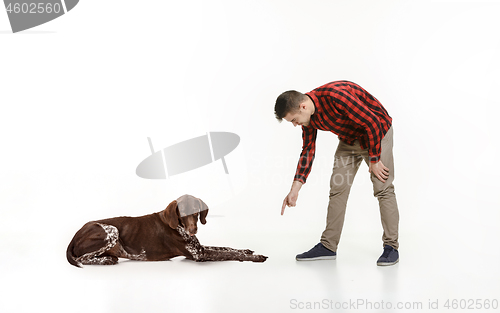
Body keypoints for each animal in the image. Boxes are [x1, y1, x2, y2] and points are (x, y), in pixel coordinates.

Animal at [69, 195, 270, 266]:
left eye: (196, 211)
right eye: (182, 212)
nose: (193, 230)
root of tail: (75, 235)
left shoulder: (200, 248)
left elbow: (227, 248)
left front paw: (247, 250)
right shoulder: (199, 254)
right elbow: (227, 254)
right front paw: (256, 257)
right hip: (111, 230)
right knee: (82, 258)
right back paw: (106, 260)